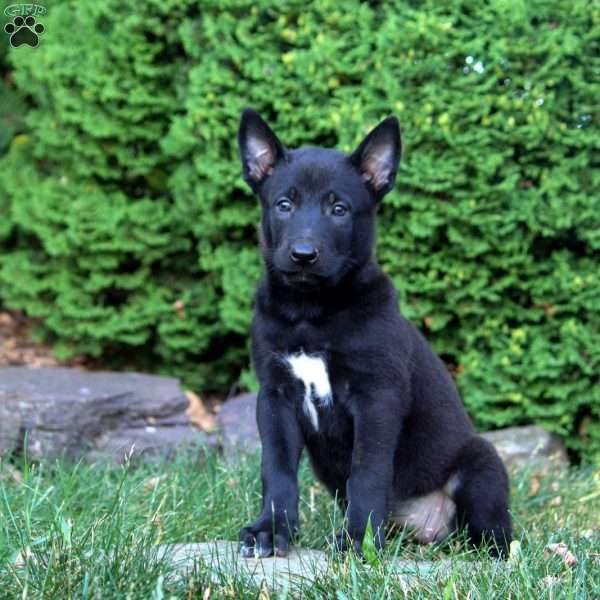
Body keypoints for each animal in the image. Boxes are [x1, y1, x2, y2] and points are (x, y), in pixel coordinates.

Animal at [234, 108, 510, 556]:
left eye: (339, 209)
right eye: (284, 204)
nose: (303, 255)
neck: (311, 312)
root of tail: (428, 532)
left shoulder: (377, 397)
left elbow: (366, 471)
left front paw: (357, 539)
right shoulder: (275, 395)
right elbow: (276, 469)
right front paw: (270, 530)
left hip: (482, 465)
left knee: (497, 533)